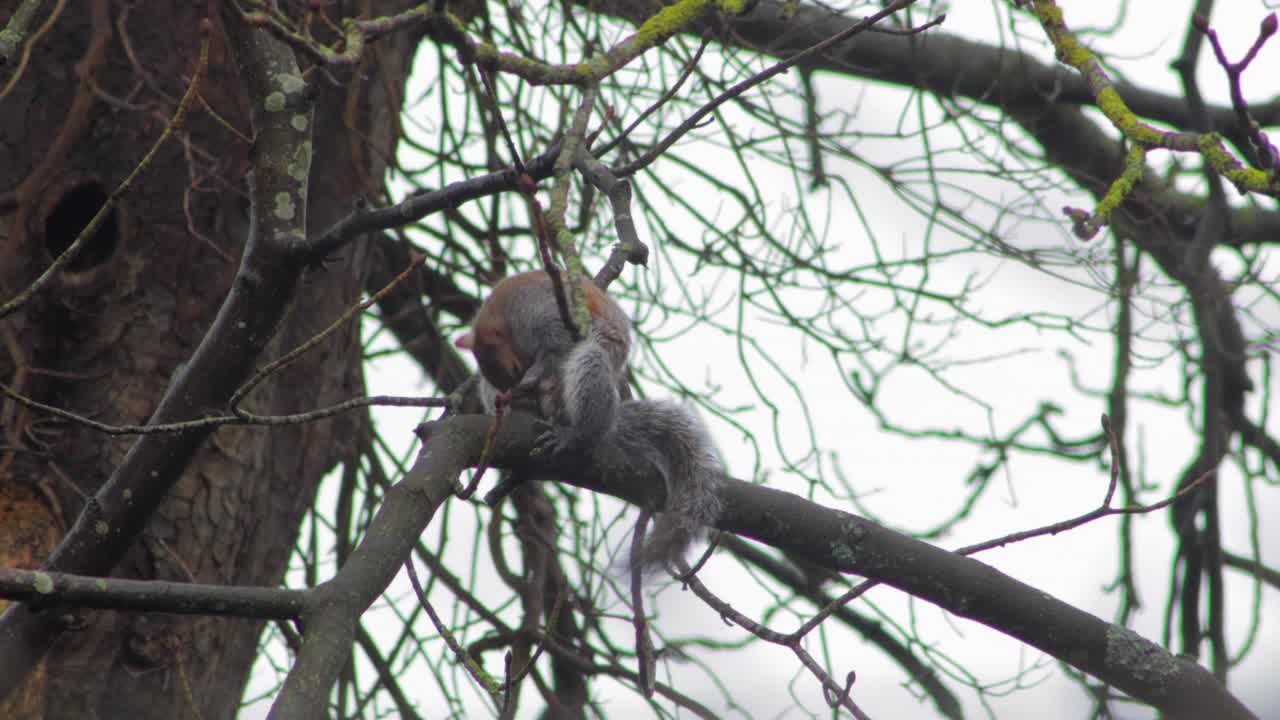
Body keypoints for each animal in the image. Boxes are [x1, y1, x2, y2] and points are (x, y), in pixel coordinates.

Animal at [455, 269, 723, 573]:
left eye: (514, 368)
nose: (518, 394)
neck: (506, 315)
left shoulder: (545, 313)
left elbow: (554, 349)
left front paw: (534, 375)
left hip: (590, 363)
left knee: (586, 412)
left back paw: (572, 433)